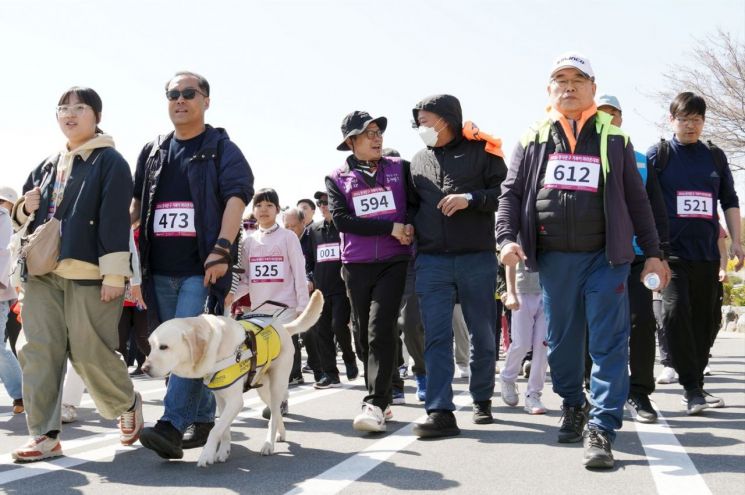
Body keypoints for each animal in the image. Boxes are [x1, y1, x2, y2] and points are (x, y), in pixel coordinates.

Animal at [142, 292, 322, 466]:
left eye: (164, 347)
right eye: (150, 346)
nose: (144, 368)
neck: (215, 347)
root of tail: (282, 327)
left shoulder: (235, 401)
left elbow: (216, 429)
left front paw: (206, 454)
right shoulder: (221, 398)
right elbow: (224, 429)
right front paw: (223, 452)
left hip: (277, 384)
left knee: (275, 413)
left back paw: (268, 444)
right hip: (264, 390)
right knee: (276, 412)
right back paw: (281, 433)